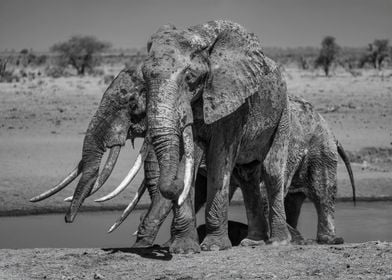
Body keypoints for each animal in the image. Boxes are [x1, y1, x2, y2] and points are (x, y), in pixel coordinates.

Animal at [140, 19, 288, 252]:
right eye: (143, 76)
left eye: (189, 77)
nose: (176, 186)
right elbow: (186, 156)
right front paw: (184, 249)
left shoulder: (235, 102)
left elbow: (220, 157)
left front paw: (215, 247)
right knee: (247, 176)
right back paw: (252, 242)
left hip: (282, 111)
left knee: (271, 170)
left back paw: (277, 242)